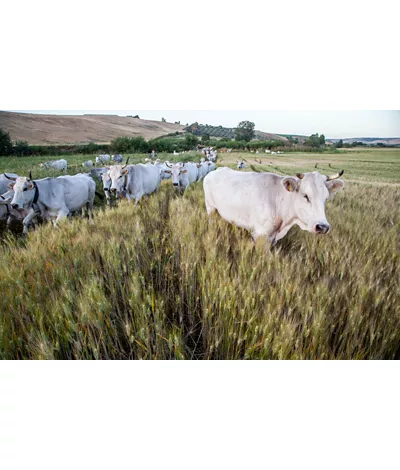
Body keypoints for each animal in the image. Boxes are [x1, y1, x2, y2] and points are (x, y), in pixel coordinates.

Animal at [203, 170, 344, 250]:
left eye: (326, 198)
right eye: (306, 196)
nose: (323, 227)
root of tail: (214, 171)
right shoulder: (260, 235)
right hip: (211, 209)